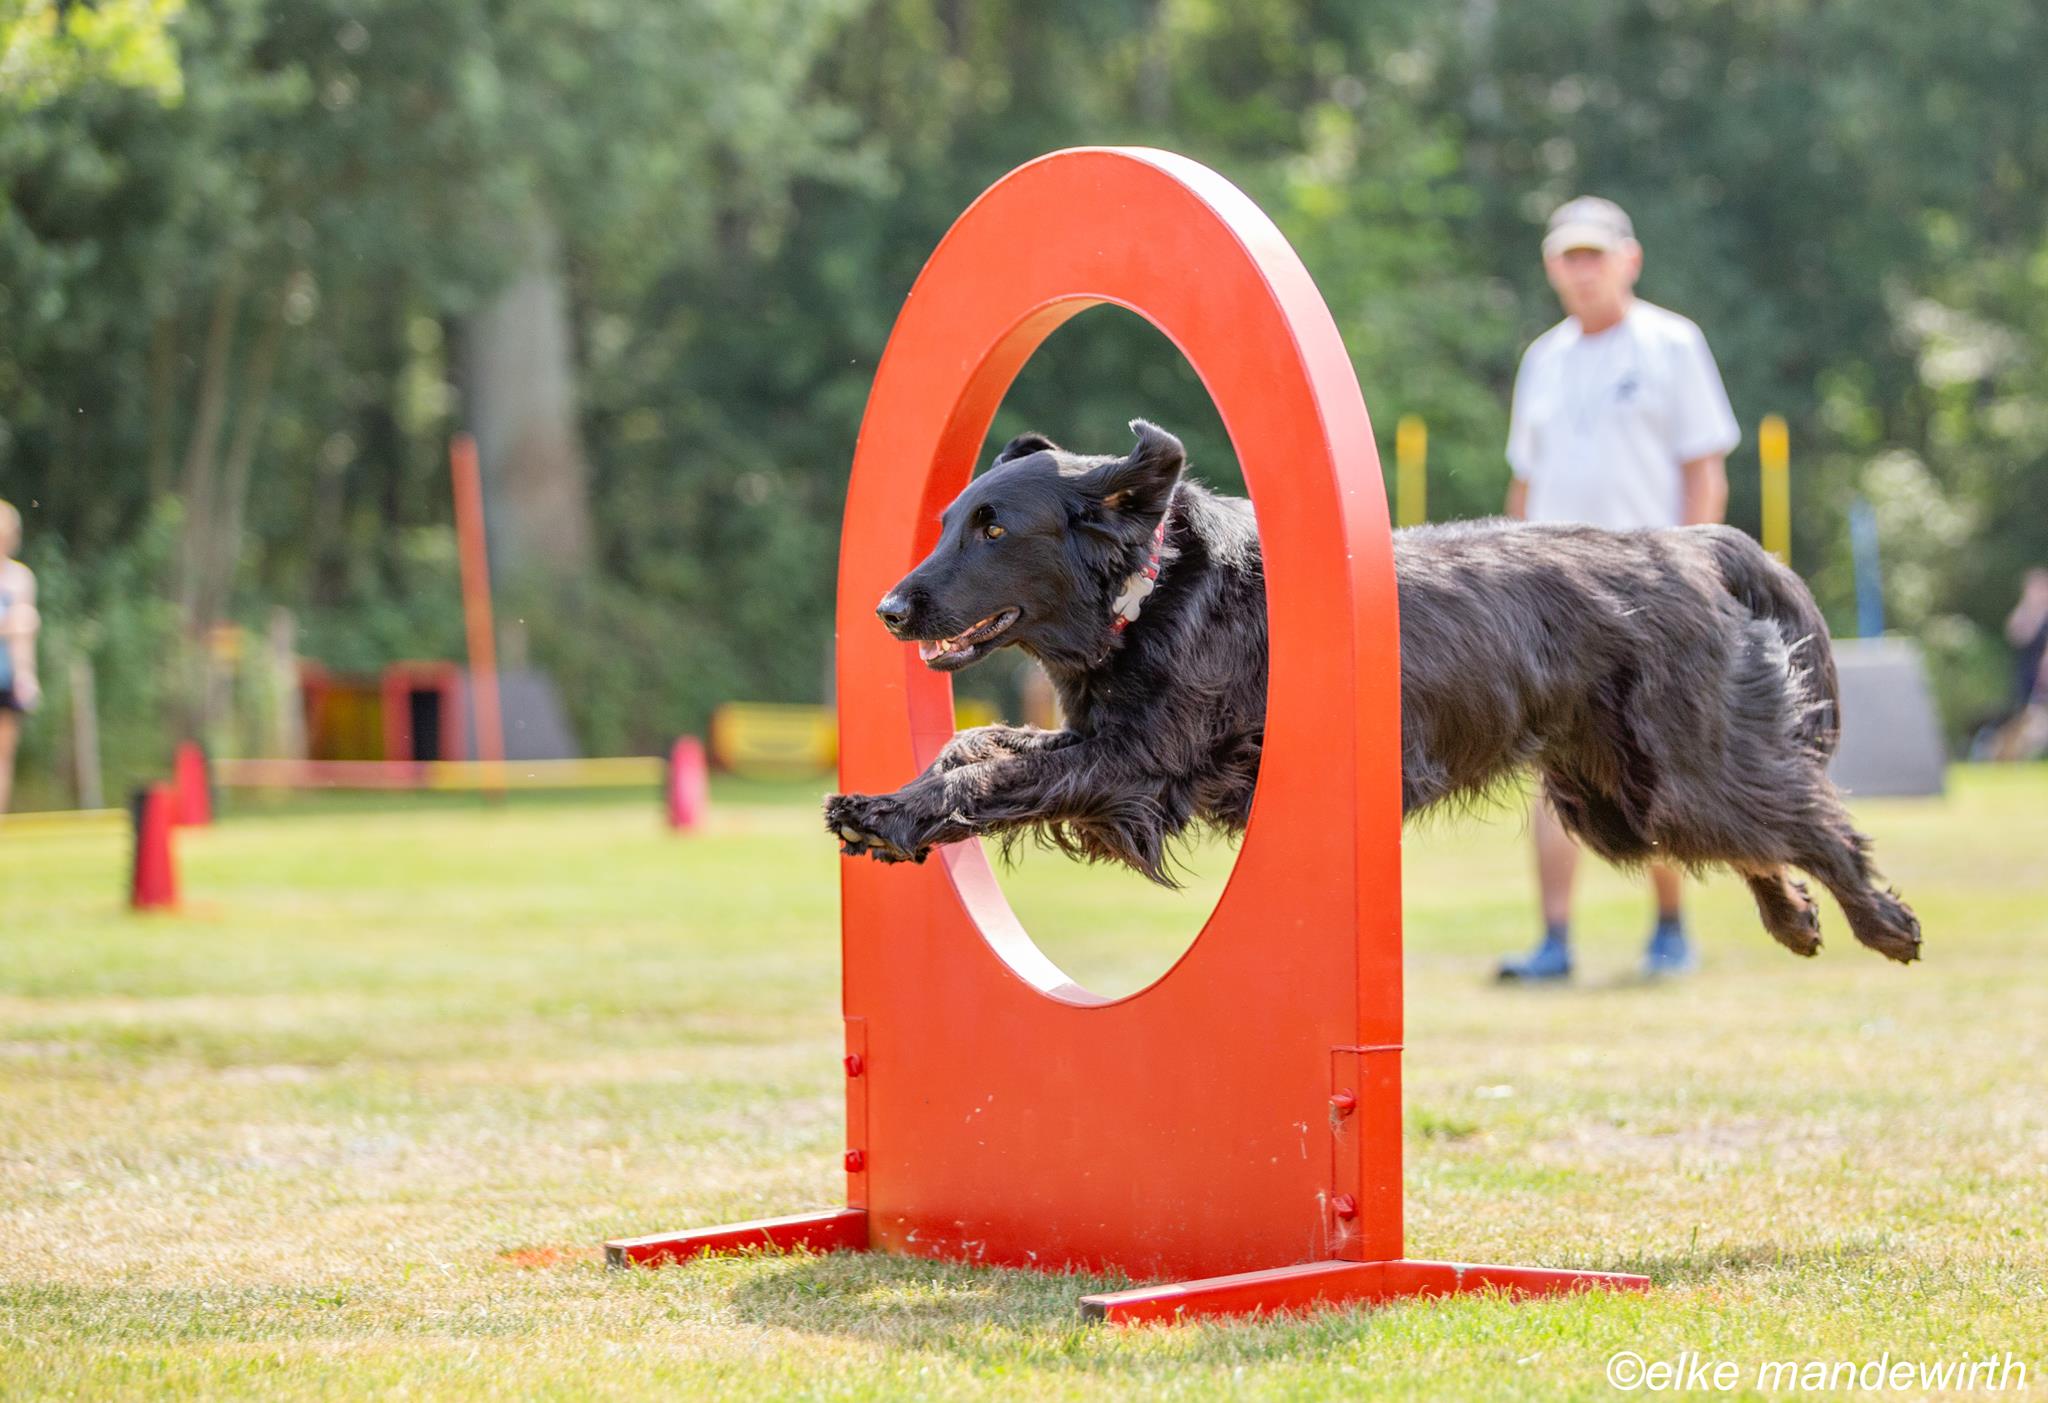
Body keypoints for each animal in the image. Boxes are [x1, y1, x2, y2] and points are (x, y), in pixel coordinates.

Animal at [824, 421, 1921, 964]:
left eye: (995, 528)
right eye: (951, 518)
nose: (886, 607)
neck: (1154, 590)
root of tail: (1691, 544)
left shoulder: (1133, 762)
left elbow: (985, 776)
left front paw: (884, 814)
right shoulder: (1099, 742)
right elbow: (975, 749)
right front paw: (890, 803)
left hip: (1681, 773)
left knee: (1808, 816)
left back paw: (1880, 920)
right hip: (1618, 799)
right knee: (1761, 833)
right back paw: (1795, 919)